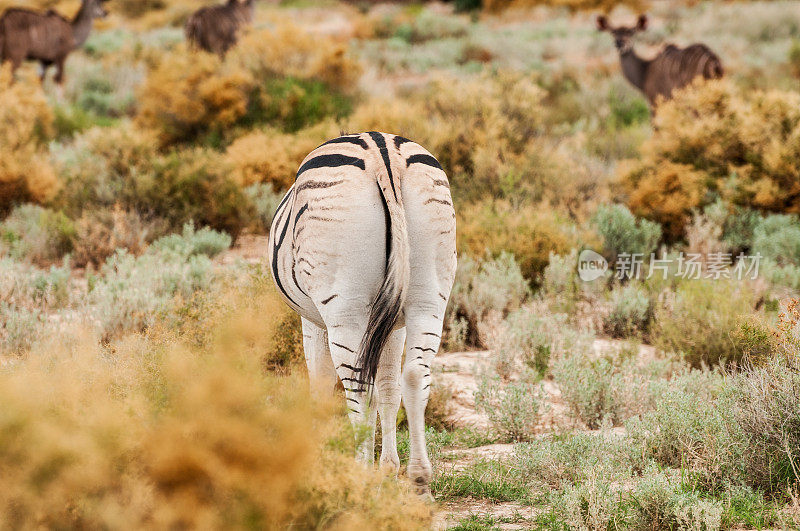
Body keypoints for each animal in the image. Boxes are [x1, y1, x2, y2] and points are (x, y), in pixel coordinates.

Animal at [268, 131, 456, 492]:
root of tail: (381, 150)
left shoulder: (314, 322)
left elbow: (321, 385)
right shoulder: (393, 325)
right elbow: (389, 388)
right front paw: (388, 470)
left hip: (344, 307)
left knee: (358, 385)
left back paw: (360, 477)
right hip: (429, 296)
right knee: (414, 375)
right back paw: (419, 479)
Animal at [592, 15, 724, 110]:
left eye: (631, 32)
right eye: (613, 32)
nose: (620, 43)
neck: (645, 71)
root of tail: (714, 62)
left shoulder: (655, 102)